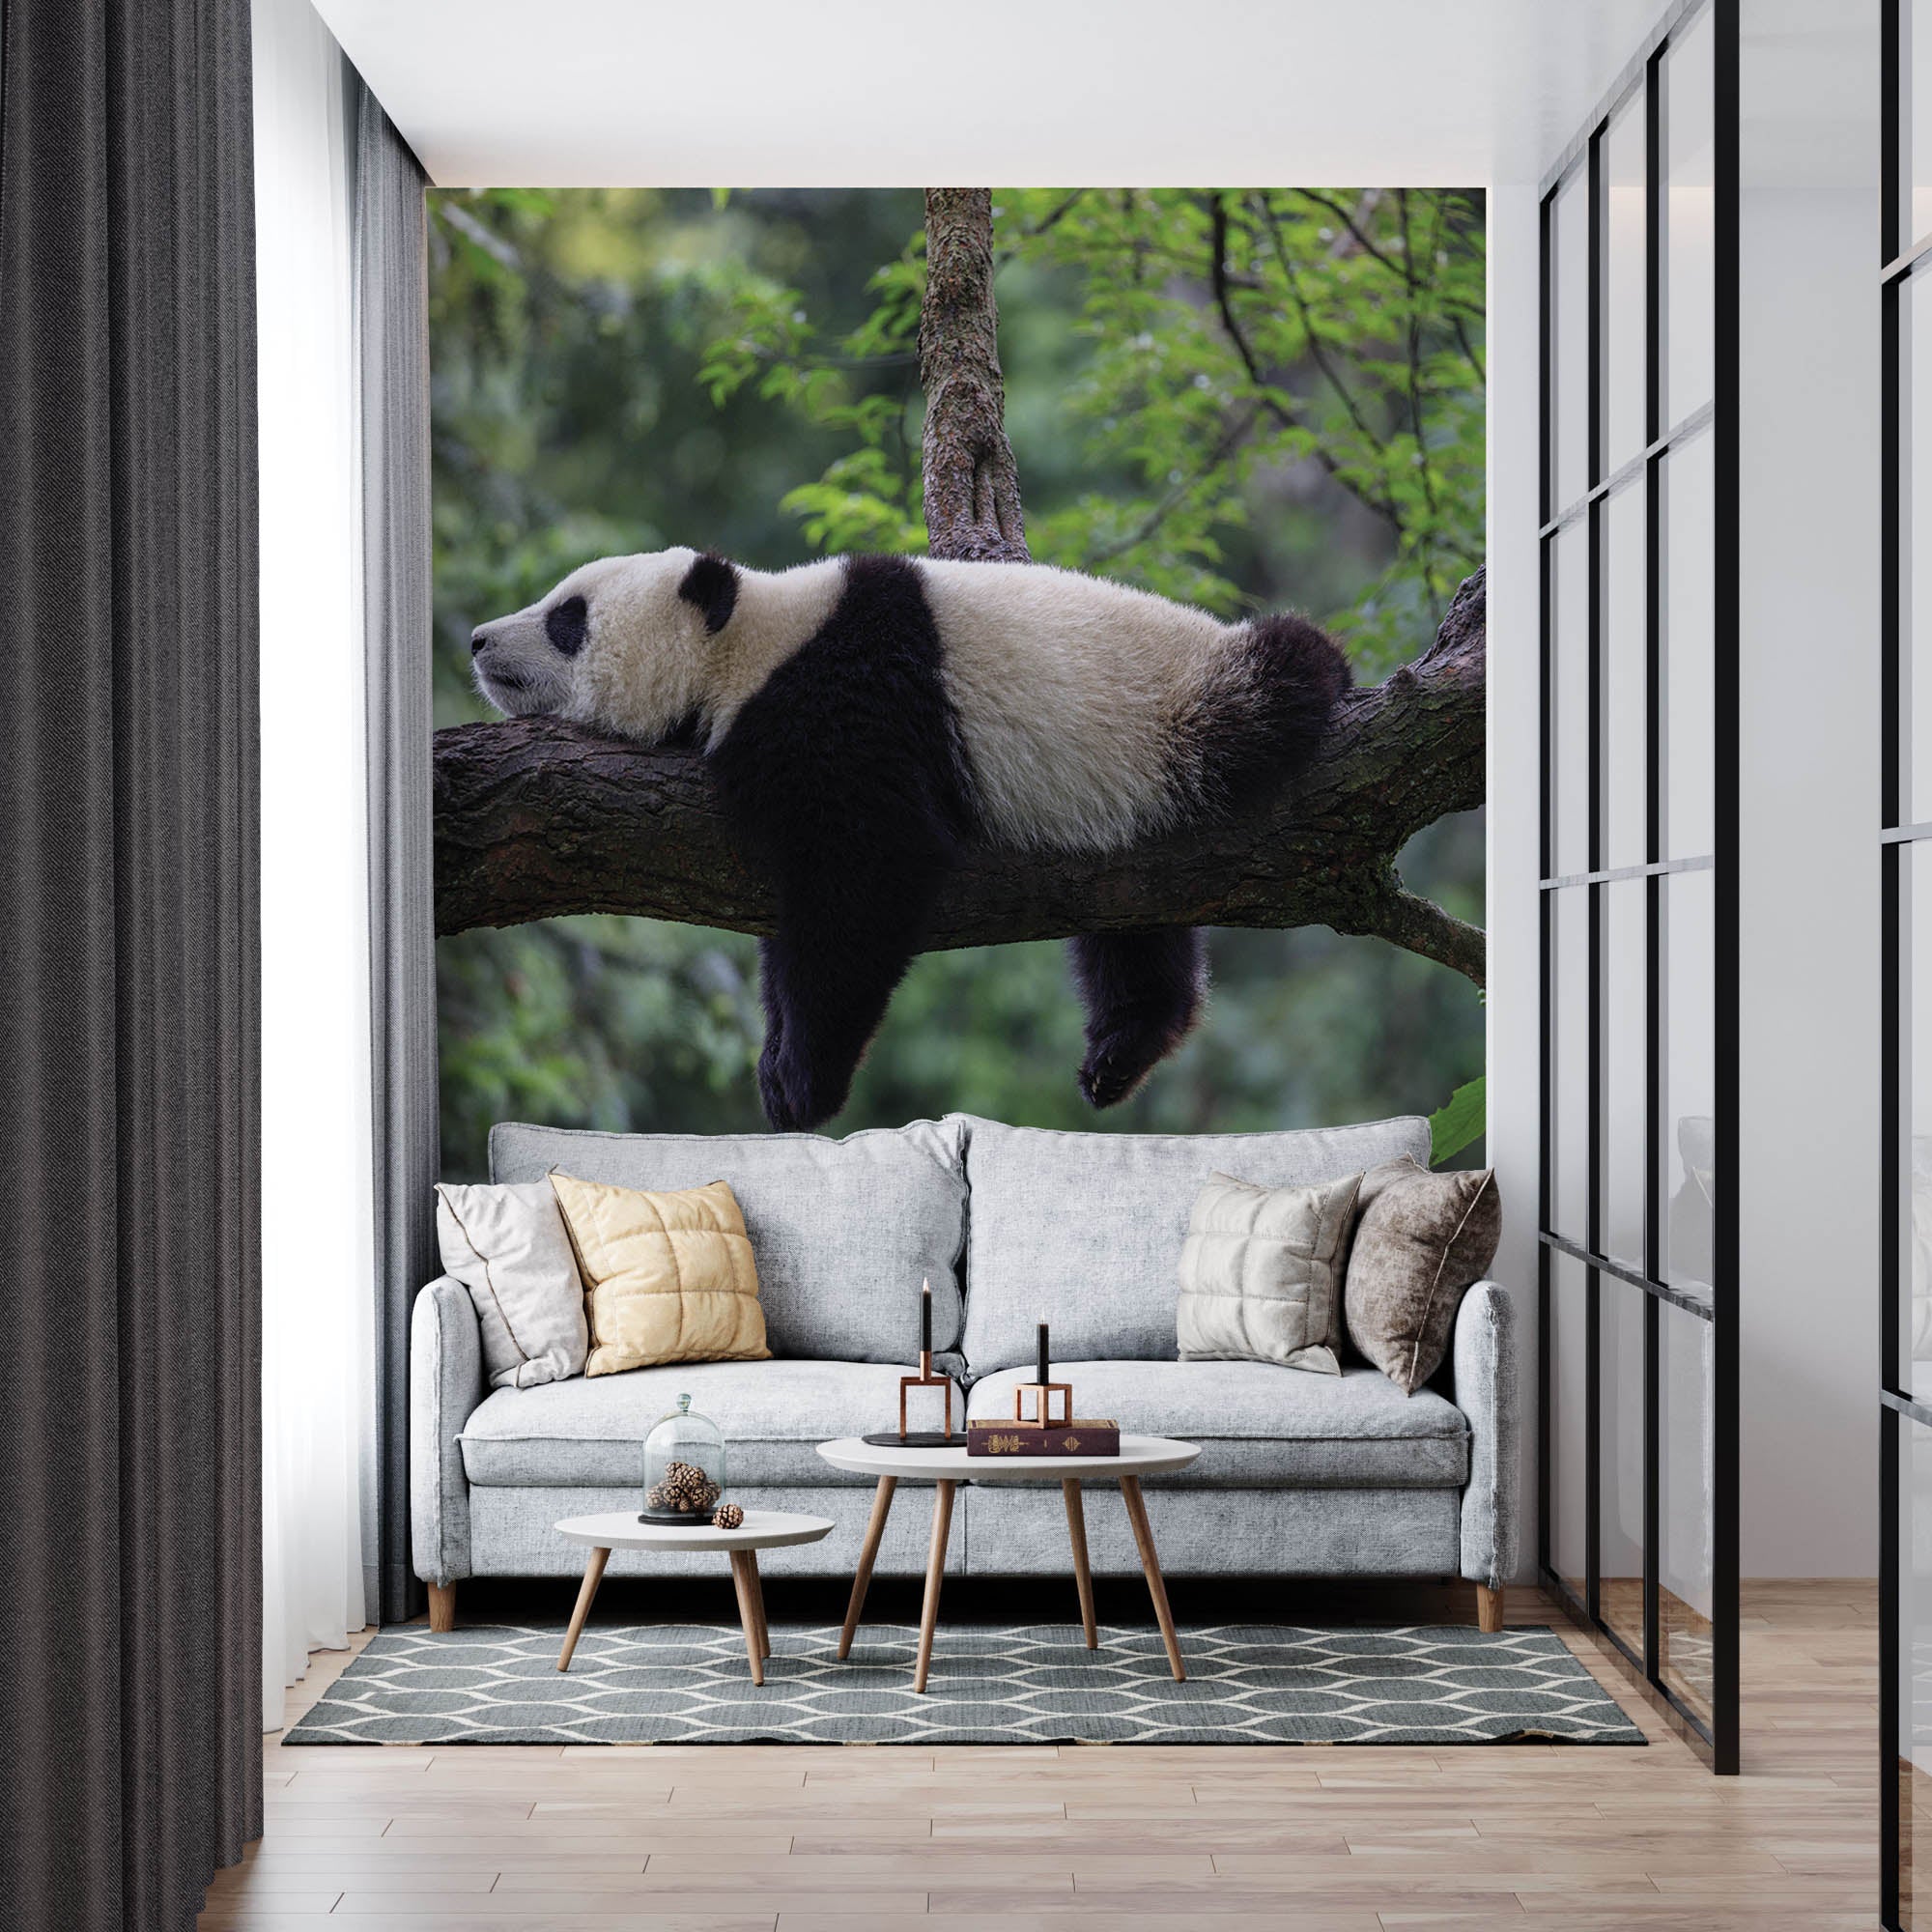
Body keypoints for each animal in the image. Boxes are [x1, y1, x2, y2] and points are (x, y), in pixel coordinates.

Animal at [470, 548, 1351, 1133]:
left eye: (568, 618)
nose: (477, 640)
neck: (752, 641)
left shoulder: (847, 701)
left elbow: (867, 874)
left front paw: (804, 1081)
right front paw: (777, 1059)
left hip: (1179, 711)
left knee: (1277, 680)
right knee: (1133, 925)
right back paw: (1123, 1048)